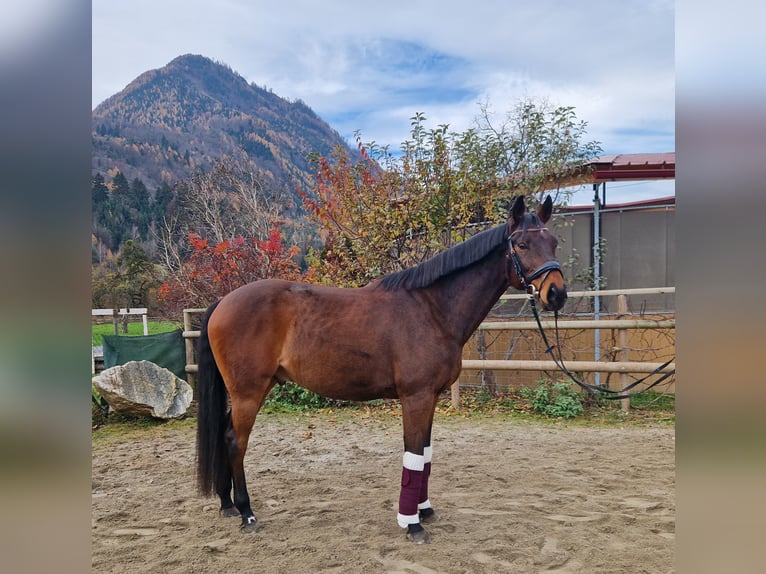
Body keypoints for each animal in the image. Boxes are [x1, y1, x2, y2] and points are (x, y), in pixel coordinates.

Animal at [196, 194, 567, 544]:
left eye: (553, 243)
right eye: (522, 244)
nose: (557, 294)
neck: (432, 309)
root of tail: (223, 302)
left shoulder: (431, 397)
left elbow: (425, 455)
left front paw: (425, 510)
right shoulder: (416, 397)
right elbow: (414, 456)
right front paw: (412, 524)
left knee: (225, 434)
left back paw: (227, 504)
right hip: (248, 392)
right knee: (235, 441)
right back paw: (246, 512)